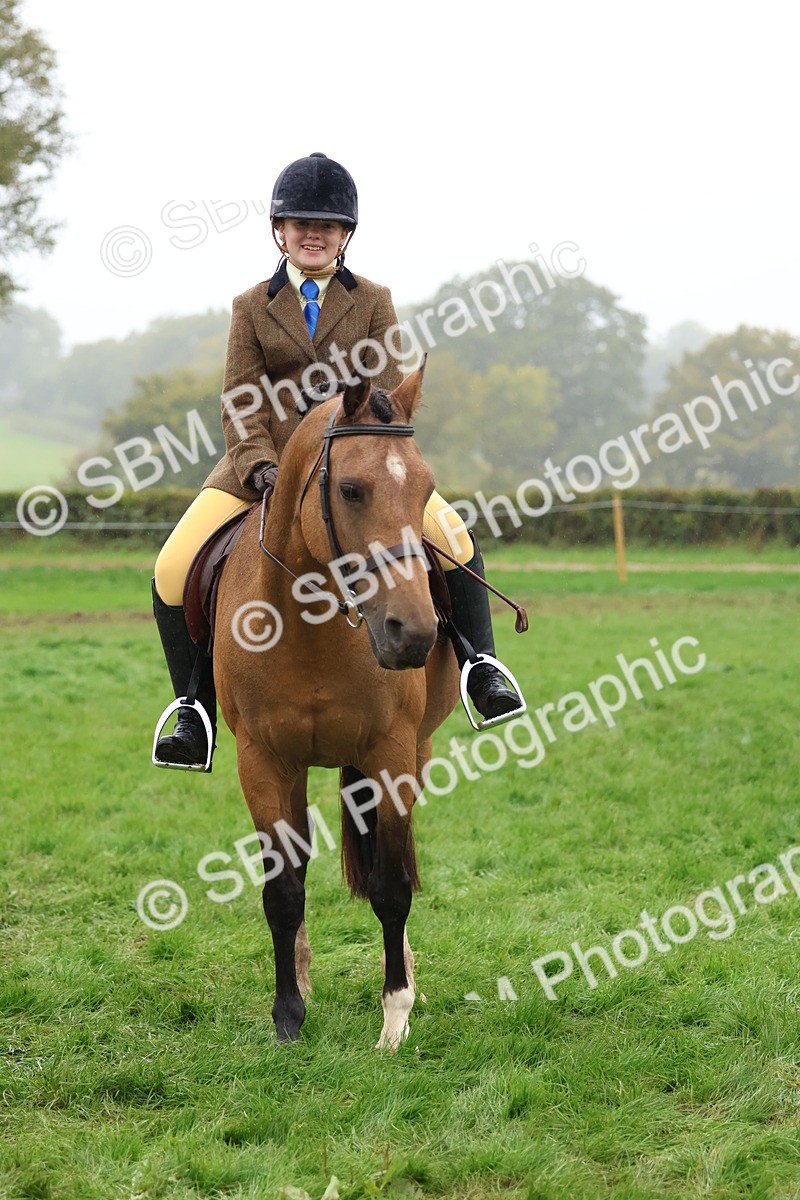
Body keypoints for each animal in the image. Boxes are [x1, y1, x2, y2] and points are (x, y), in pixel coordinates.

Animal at [213, 365, 460, 1050]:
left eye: (426, 488)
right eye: (351, 490)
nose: (413, 633)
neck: (308, 626)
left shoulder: (393, 753)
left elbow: (393, 885)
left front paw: (395, 1015)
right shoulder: (263, 761)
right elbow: (283, 891)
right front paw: (288, 1016)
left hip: (416, 748)